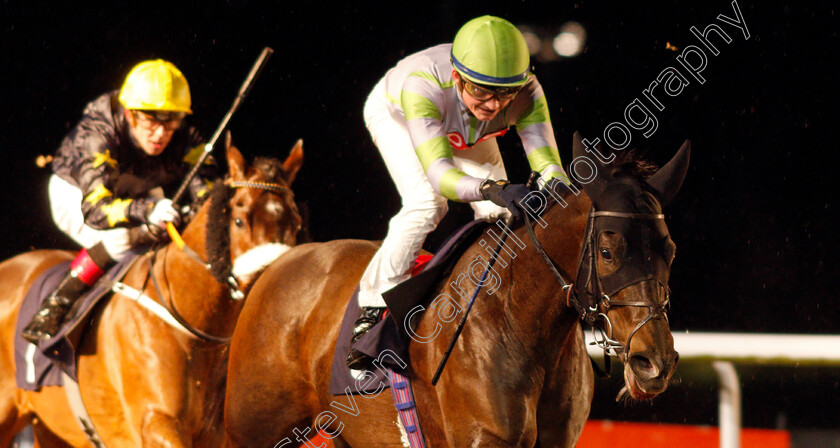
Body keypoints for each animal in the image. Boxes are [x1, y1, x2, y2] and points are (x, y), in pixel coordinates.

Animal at [223, 134, 688, 448]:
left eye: (670, 249)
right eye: (608, 251)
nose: (654, 363)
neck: (522, 320)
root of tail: (280, 262)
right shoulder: (484, 438)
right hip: (252, 427)